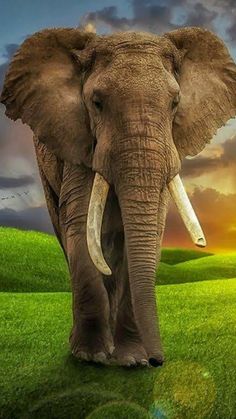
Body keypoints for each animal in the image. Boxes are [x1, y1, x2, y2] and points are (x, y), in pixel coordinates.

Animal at [0, 26, 235, 370]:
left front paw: (132, 360)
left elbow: (146, 230)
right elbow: (80, 224)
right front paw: (91, 356)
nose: (158, 361)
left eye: (175, 103)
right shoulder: (79, 143)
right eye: (96, 103)